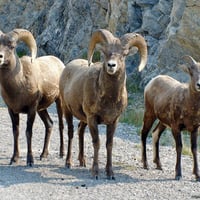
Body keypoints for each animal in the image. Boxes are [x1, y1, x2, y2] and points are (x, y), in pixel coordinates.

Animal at [0, 28, 64, 166]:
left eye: (12, 46)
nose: (0, 57)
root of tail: (60, 64)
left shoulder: (31, 109)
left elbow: (28, 132)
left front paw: (30, 160)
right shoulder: (12, 110)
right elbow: (16, 132)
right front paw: (14, 159)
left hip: (59, 102)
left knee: (61, 125)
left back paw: (62, 154)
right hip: (42, 109)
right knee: (49, 124)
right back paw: (43, 155)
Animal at [59, 28, 147, 180]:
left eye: (124, 54)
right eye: (105, 52)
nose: (111, 65)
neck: (109, 99)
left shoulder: (113, 121)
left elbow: (109, 144)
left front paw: (110, 173)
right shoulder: (92, 118)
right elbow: (97, 143)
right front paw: (95, 172)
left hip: (84, 119)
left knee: (80, 131)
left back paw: (82, 161)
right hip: (67, 110)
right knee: (70, 133)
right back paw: (68, 163)